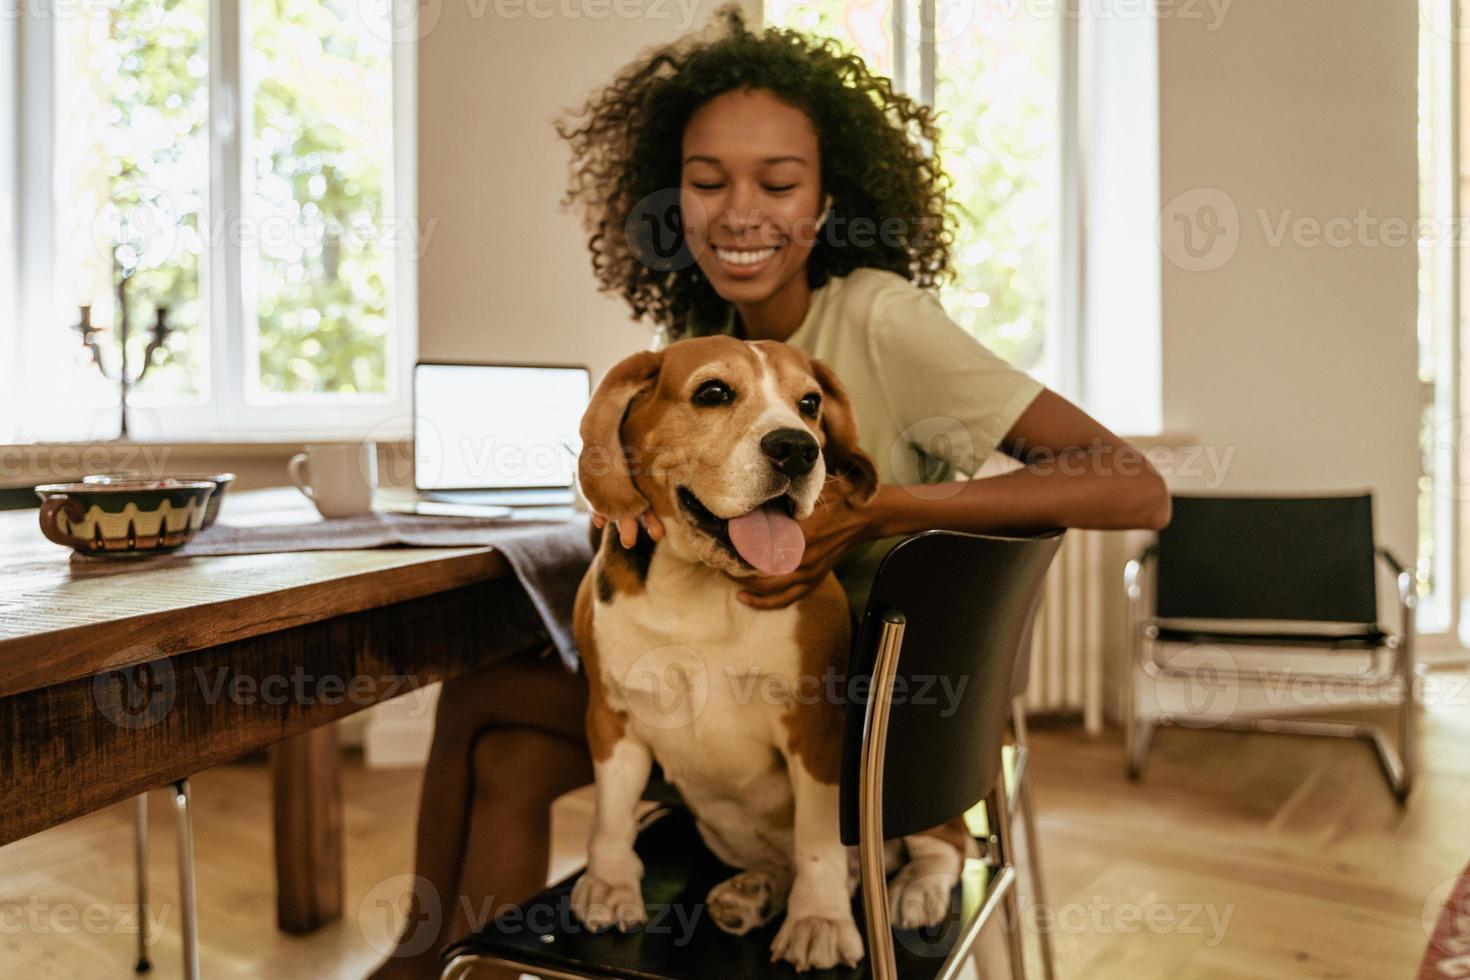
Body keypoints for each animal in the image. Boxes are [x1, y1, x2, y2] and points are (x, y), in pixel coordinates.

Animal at [567, 337, 970, 975]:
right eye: (713, 392)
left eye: (809, 403)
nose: (798, 449)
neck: (700, 584)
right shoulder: (611, 715)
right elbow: (609, 813)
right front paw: (608, 884)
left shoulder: (817, 731)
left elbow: (818, 842)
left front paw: (819, 921)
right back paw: (754, 893)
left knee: (944, 847)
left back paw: (915, 891)